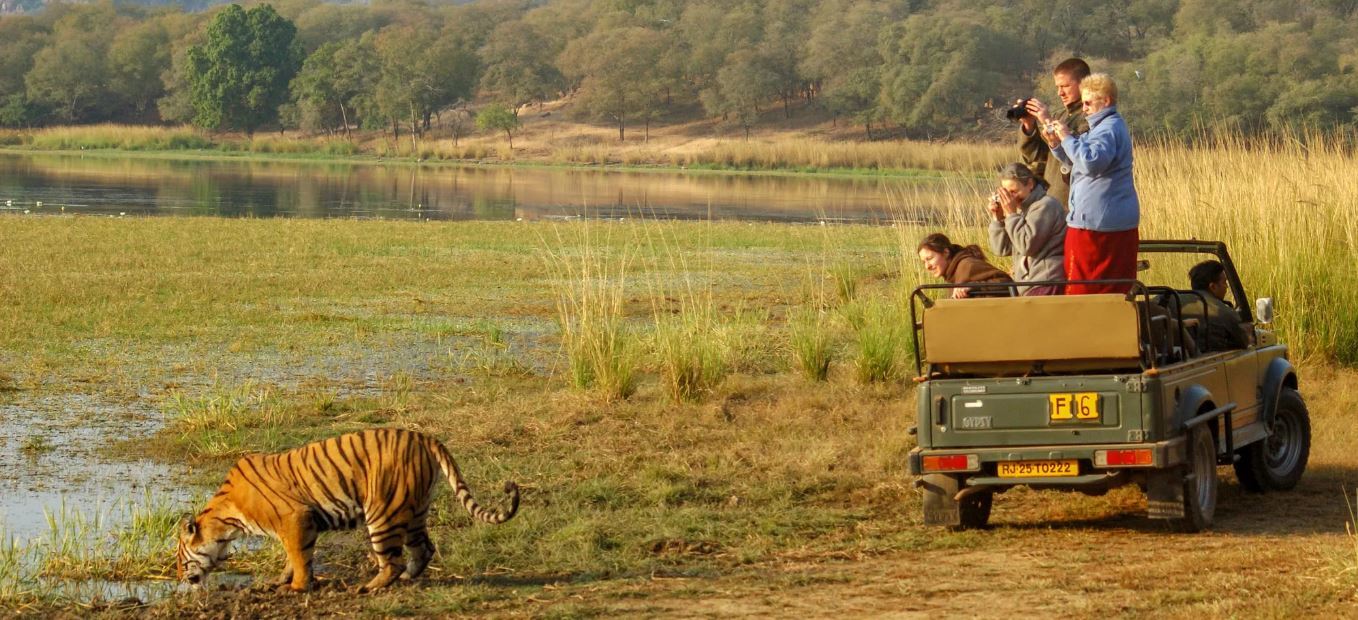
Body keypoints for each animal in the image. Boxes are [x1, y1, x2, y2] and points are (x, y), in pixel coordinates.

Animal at [176, 428, 520, 593]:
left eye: (179, 558)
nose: (180, 578)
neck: (225, 520)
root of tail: (425, 437)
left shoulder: (295, 519)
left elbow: (298, 557)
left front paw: (297, 588)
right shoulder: (299, 524)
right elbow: (293, 558)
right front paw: (281, 581)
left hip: (383, 513)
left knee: (392, 561)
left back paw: (367, 588)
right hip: (415, 510)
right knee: (423, 549)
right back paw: (407, 579)